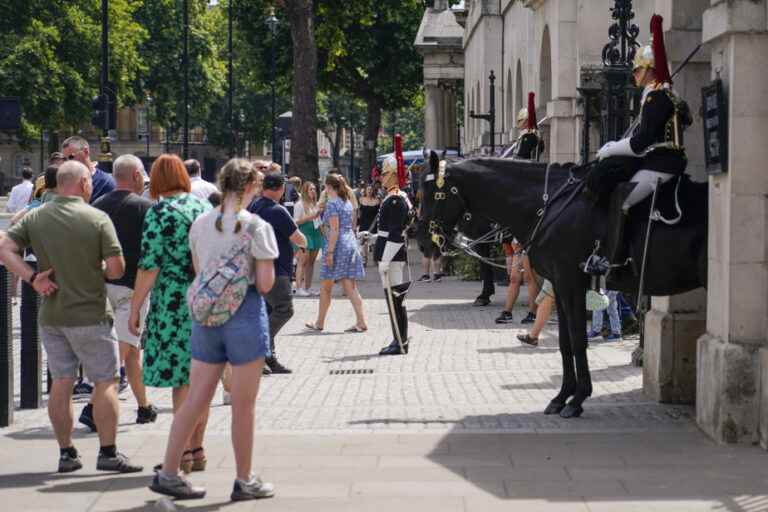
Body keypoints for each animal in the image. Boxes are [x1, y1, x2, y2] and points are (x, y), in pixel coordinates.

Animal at [420, 154, 708, 418]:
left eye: (434, 193)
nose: (424, 244)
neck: (547, 206)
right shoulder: (559, 286)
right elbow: (564, 341)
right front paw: (561, 396)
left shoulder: (571, 282)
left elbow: (578, 340)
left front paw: (577, 399)